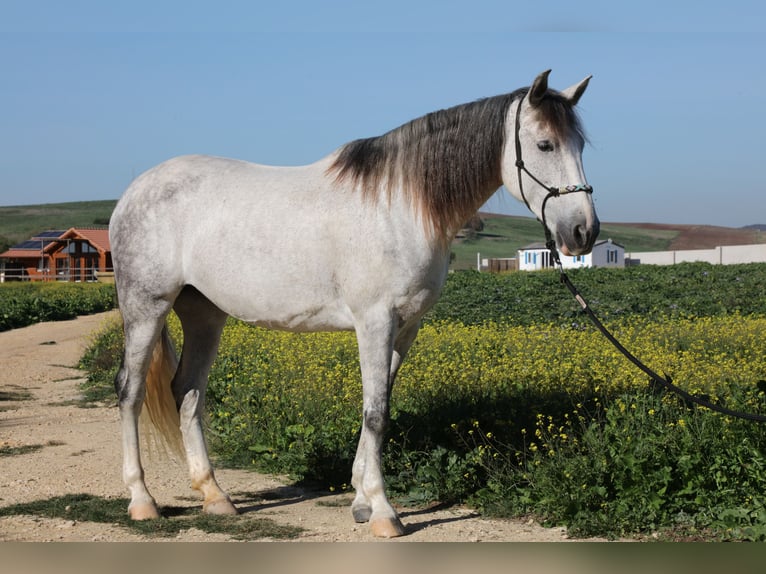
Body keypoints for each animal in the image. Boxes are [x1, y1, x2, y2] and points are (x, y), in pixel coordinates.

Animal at [111, 70, 600, 536]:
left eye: (580, 144)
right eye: (544, 144)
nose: (584, 232)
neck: (399, 206)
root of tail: (134, 191)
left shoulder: (406, 327)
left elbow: (379, 407)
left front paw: (362, 501)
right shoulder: (375, 322)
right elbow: (376, 413)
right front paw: (384, 512)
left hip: (204, 313)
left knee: (188, 392)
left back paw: (215, 496)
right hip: (146, 306)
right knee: (131, 391)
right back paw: (142, 500)